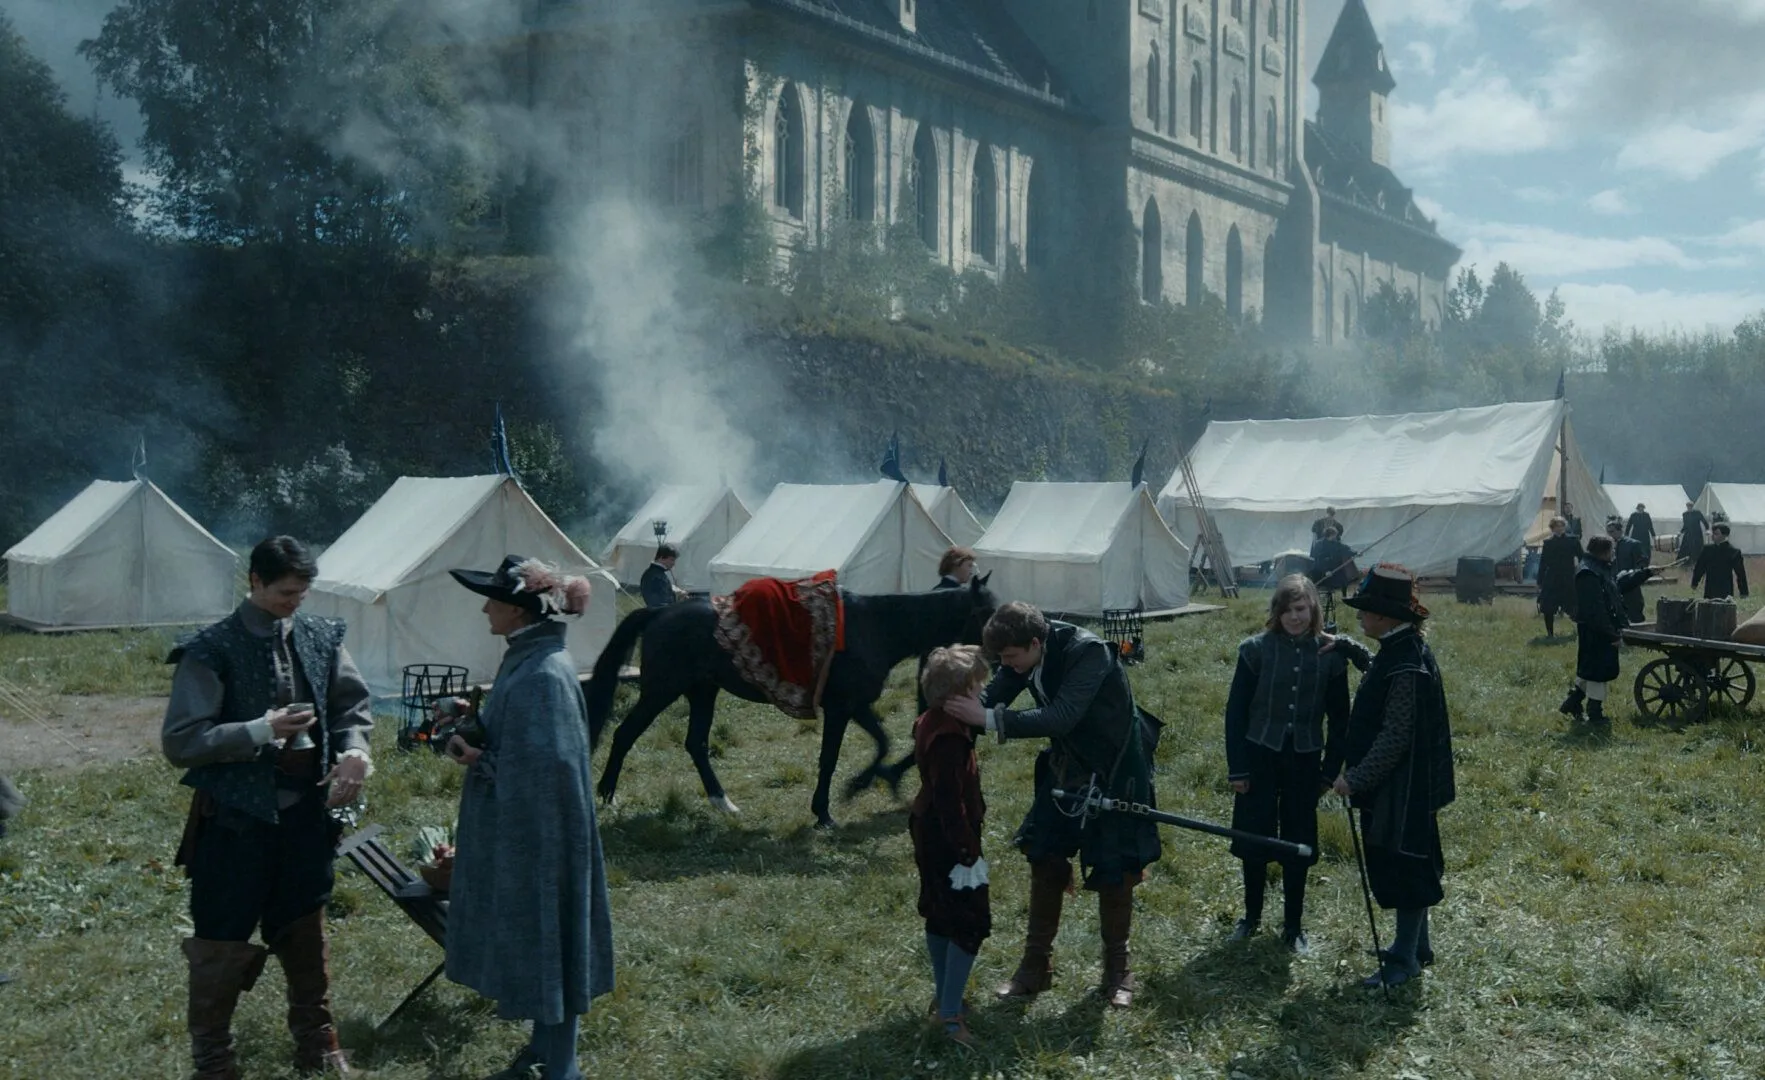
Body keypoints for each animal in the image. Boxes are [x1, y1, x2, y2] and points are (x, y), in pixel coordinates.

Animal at [586, 574, 996, 828]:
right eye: (987, 612)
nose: (995, 659)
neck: (877, 626)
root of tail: (660, 611)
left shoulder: (856, 705)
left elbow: (883, 742)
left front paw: (864, 783)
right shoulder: (840, 709)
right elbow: (830, 758)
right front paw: (825, 812)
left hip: (702, 692)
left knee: (696, 744)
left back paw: (722, 802)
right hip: (660, 692)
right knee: (625, 734)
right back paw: (607, 794)